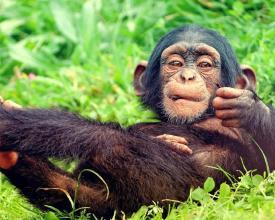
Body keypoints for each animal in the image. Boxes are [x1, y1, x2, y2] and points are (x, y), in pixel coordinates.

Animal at [0, 24, 275, 217]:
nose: (187, 75)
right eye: (175, 63)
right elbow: (93, 200)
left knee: (108, 138)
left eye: (205, 64)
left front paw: (249, 106)